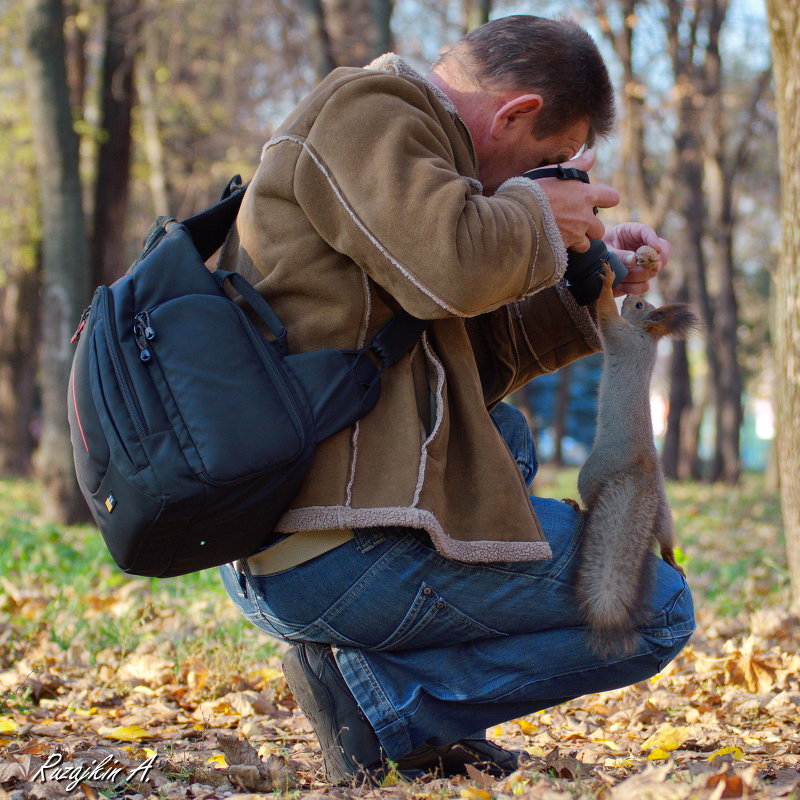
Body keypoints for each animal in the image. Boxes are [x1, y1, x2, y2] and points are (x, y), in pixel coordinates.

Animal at [572, 247, 696, 660]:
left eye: (640, 305)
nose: (630, 293)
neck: (646, 338)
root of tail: (639, 470)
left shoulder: (620, 335)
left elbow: (605, 316)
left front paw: (608, 282)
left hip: (590, 472)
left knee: (590, 503)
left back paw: (575, 506)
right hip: (664, 510)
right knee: (666, 539)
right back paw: (673, 561)